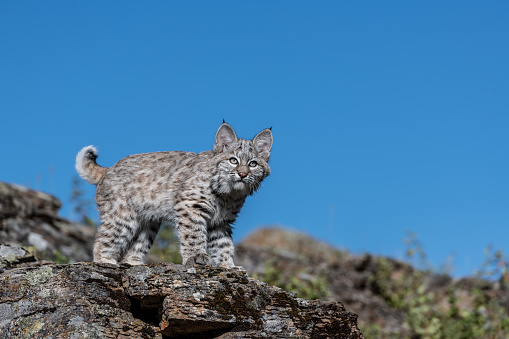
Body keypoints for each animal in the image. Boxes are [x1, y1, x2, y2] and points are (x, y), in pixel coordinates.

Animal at [75, 122, 272, 268]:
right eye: (233, 161)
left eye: (253, 164)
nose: (243, 174)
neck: (228, 194)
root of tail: (110, 168)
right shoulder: (190, 205)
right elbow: (193, 234)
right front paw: (196, 257)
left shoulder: (222, 221)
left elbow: (223, 244)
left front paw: (228, 266)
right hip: (123, 216)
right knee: (102, 239)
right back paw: (106, 262)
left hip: (148, 222)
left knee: (134, 245)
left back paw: (134, 264)